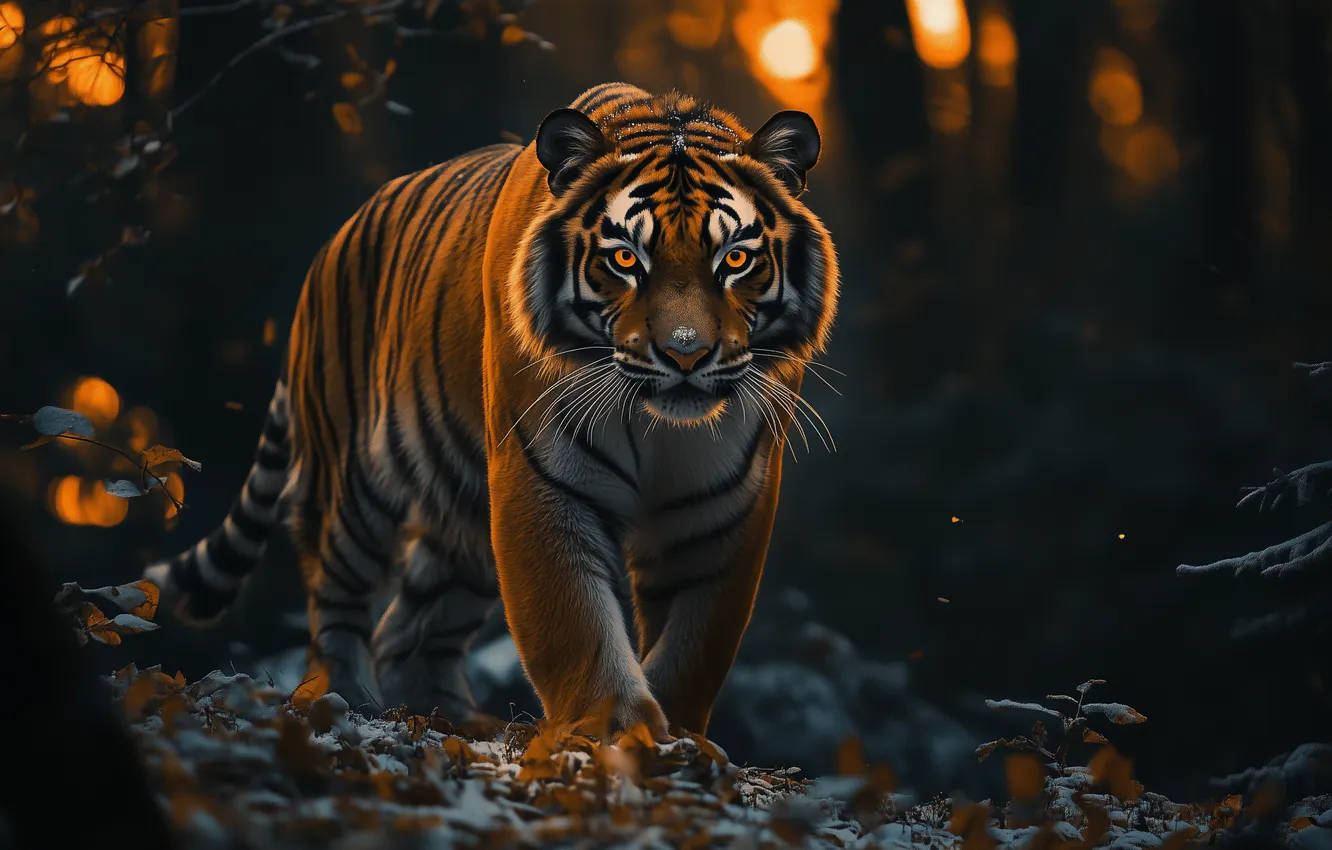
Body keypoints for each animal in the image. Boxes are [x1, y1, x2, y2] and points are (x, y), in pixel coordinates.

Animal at [145, 83, 839, 740]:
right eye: (624, 259)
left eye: (736, 259)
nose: (686, 353)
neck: (659, 426)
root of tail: (332, 244)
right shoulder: (542, 478)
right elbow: (575, 618)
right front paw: (614, 728)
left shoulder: (722, 511)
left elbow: (697, 643)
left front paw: (678, 739)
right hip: (354, 484)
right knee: (336, 596)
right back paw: (343, 698)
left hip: (464, 520)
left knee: (407, 631)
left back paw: (456, 719)